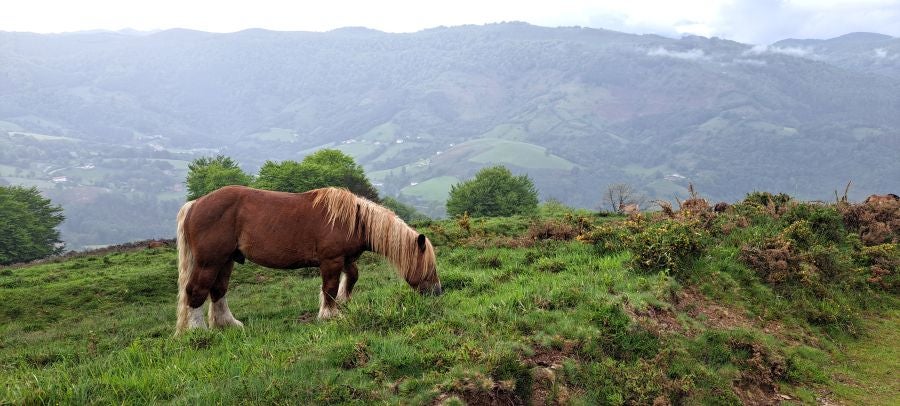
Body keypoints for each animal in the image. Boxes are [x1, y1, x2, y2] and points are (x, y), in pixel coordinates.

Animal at [174, 186, 442, 334]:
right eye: (429, 266)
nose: (437, 292)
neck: (352, 219)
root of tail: (195, 204)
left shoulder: (345, 259)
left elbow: (352, 277)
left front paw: (344, 303)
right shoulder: (331, 260)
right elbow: (329, 287)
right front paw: (329, 315)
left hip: (226, 260)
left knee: (218, 291)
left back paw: (228, 324)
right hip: (209, 261)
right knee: (196, 291)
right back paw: (198, 331)